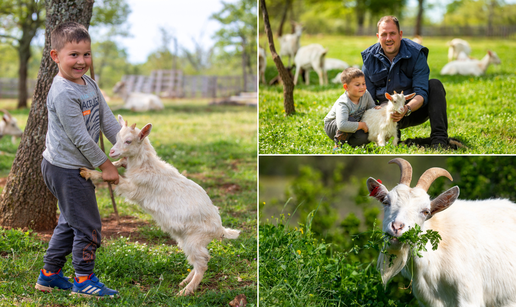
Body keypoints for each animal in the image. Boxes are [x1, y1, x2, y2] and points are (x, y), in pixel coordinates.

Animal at [79, 115, 241, 296]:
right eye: (116, 138)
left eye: (128, 141)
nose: (112, 152)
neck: (146, 167)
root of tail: (220, 229)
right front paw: (104, 166)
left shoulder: (135, 189)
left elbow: (117, 179)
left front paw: (91, 173)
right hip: (187, 240)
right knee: (200, 259)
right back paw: (185, 281)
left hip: (195, 239)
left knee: (203, 263)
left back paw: (185, 291)